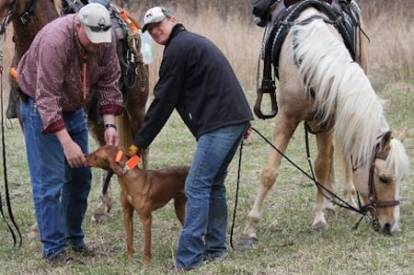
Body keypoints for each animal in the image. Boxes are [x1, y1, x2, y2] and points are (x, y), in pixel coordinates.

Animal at [241, 1, 410, 248]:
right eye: (384, 178)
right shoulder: (286, 119)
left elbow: (321, 165)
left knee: (338, 154)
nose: (391, 226)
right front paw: (250, 229)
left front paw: (319, 218)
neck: (310, 58)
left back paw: (344, 198)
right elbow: (269, 172)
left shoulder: (327, 121)